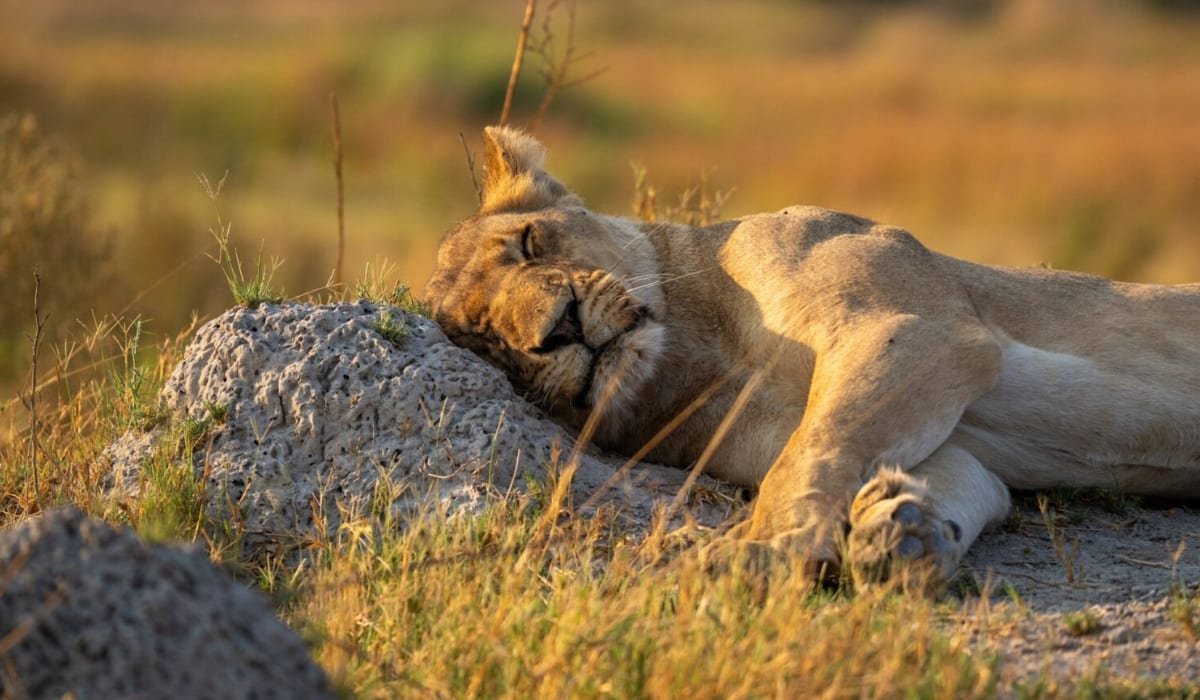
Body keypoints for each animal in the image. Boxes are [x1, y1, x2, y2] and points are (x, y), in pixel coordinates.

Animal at [424, 126, 1200, 588]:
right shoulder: (941, 423)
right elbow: (957, 476)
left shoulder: (912, 324)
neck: (699, 352)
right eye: (486, 339)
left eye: (530, 243)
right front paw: (908, 531)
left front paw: (762, 549)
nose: (557, 328)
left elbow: (814, 449)